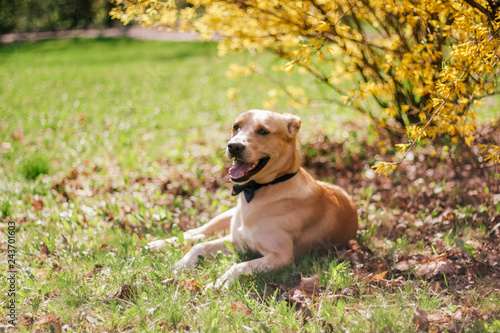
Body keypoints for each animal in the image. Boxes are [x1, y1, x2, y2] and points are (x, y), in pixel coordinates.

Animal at [146, 110, 358, 286]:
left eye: (263, 131)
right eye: (236, 126)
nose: (233, 146)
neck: (259, 191)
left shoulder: (280, 257)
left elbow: (240, 265)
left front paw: (221, 282)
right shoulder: (237, 241)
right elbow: (199, 247)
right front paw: (181, 264)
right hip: (225, 215)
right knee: (197, 233)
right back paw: (160, 243)